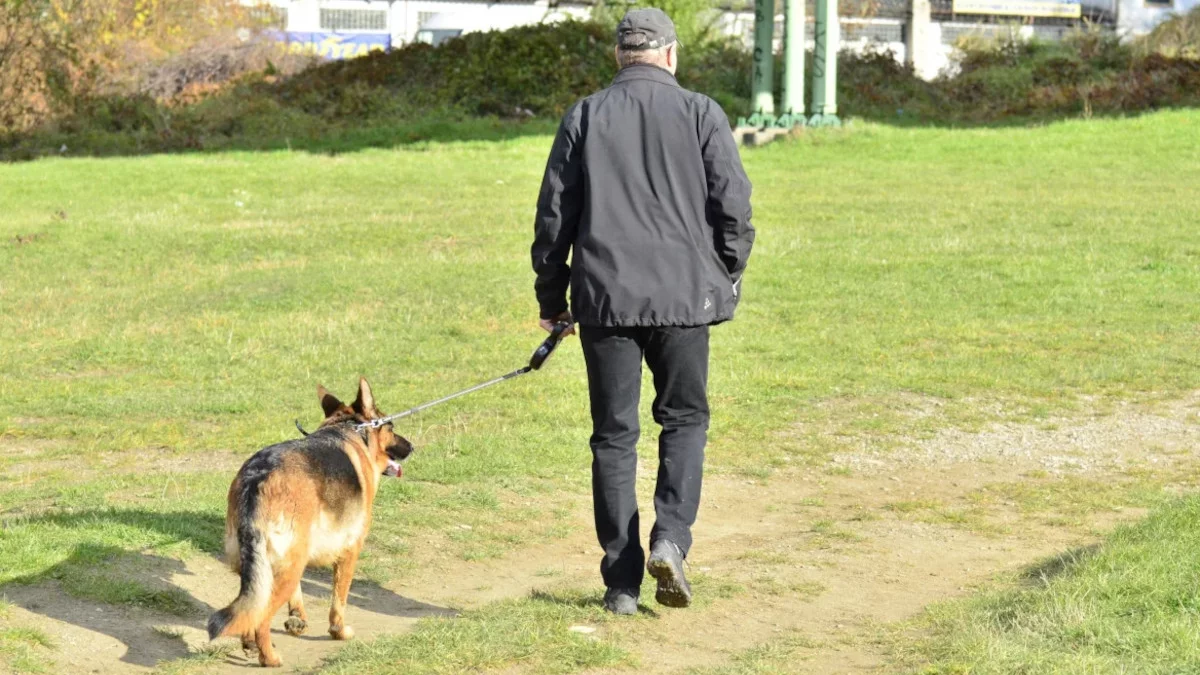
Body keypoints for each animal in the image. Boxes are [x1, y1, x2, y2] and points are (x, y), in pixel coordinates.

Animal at [207, 377, 413, 667]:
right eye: (391, 426)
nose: (412, 446)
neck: (350, 430)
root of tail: (257, 479)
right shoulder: (349, 553)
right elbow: (339, 600)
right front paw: (339, 632)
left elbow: (299, 596)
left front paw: (297, 619)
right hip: (287, 566)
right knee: (263, 617)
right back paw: (269, 657)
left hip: (270, 564)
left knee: (253, 605)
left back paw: (250, 644)